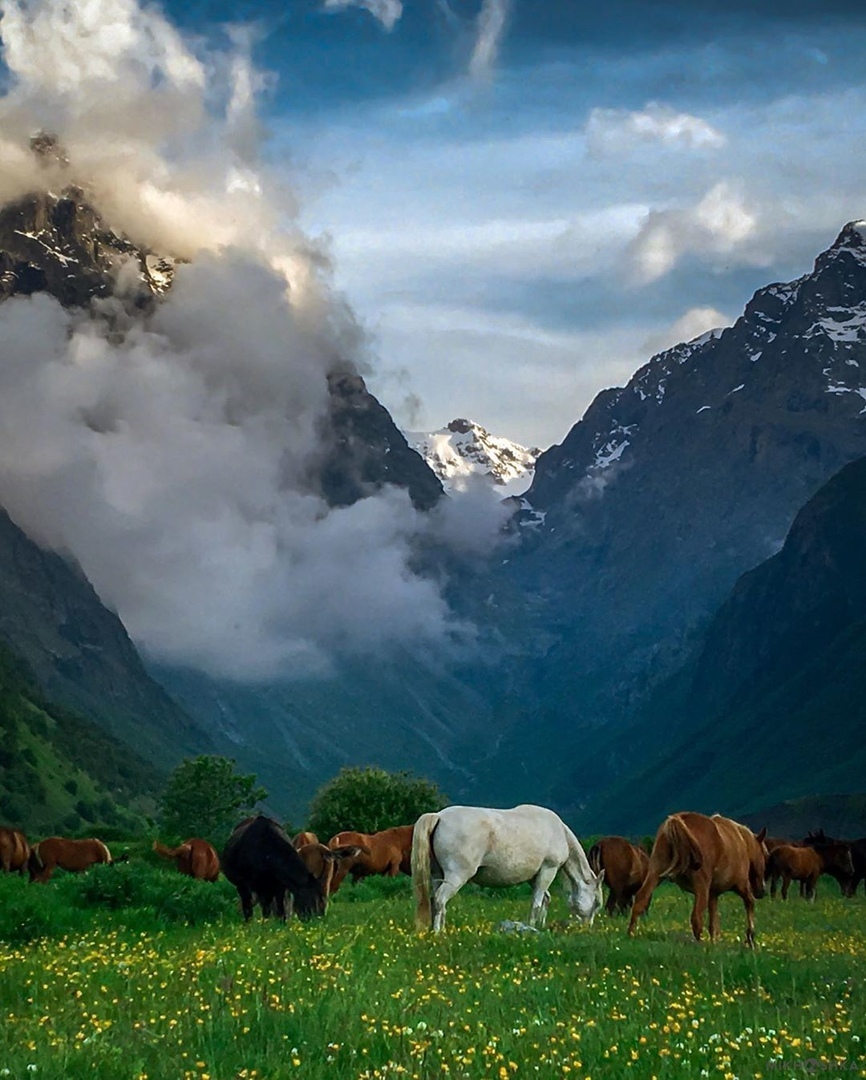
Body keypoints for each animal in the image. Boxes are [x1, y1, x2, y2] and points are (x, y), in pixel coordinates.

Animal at [410, 807, 600, 933]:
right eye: (597, 903)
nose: (588, 928)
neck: (559, 830)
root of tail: (439, 816)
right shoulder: (548, 869)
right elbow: (537, 902)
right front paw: (532, 927)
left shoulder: (534, 877)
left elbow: (545, 899)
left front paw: (539, 925)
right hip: (456, 876)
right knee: (440, 899)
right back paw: (437, 933)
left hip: (438, 876)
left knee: (436, 900)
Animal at [626, 812, 764, 946]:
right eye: (764, 855)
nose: (761, 891)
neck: (741, 840)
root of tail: (676, 821)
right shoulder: (741, 885)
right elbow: (750, 902)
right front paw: (750, 937)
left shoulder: (713, 894)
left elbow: (713, 921)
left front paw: (715, 942)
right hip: (701, 887)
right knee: (697, 917)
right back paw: (700, 945)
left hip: (655, 873)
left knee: (641, 899)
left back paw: (631, 933)